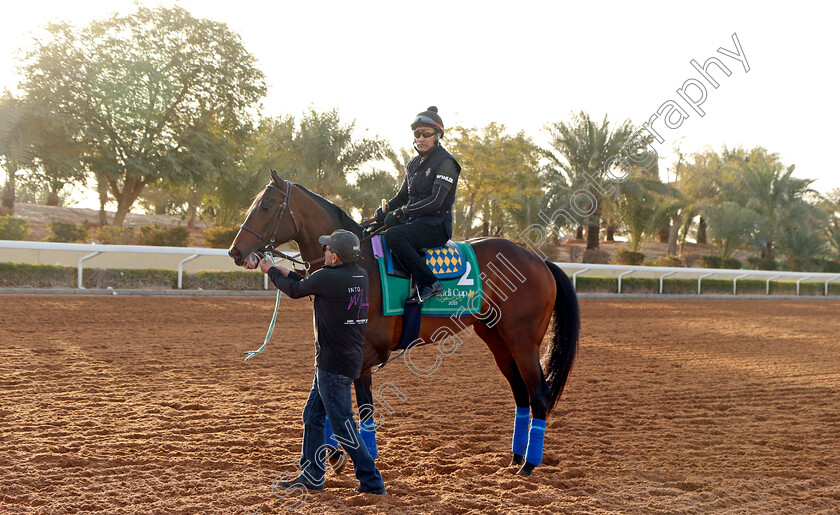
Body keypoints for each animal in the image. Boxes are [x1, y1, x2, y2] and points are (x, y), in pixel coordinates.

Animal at [231, 171, 584, 478]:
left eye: (265, 206)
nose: (236, 251)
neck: (357, 263)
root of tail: (540, 260)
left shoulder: (362, 357)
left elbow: (361, 411)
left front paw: (361, 458)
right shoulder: (338, 353)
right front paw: (337, 456)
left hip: (522, 341)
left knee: (538, 393)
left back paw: (529, 464)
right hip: (497, 340)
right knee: (521, 393)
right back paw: (515, 457)